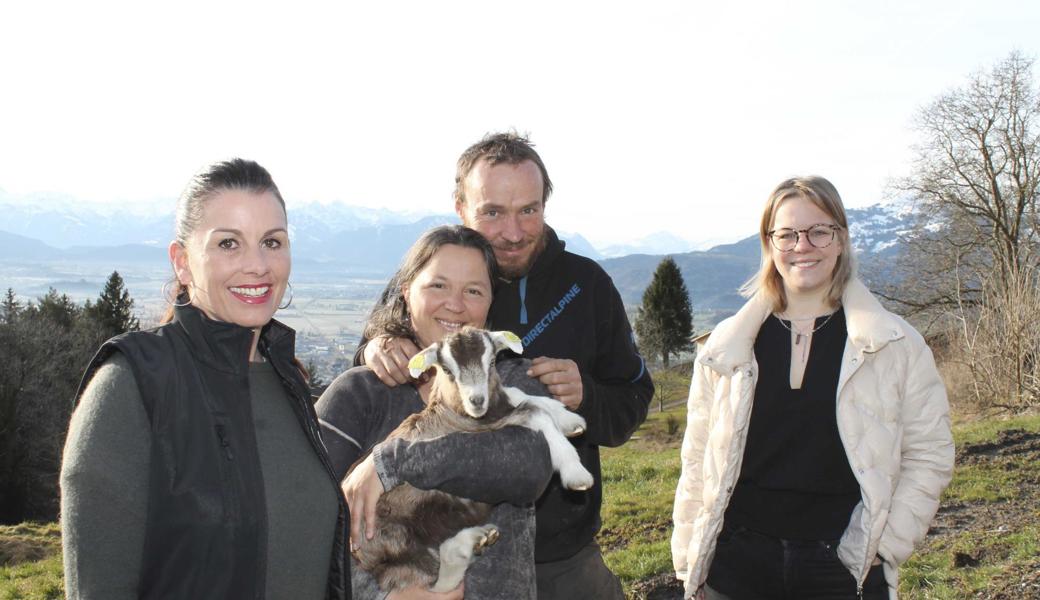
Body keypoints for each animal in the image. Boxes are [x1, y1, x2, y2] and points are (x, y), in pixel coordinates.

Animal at [351, 324, 590, 590]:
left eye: (492, 361)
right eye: (447, 369)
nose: (476, 401)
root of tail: (362, 557)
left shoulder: (500, 406)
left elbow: (521, 394)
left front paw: (572, 421)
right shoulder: (489, 425)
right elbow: (535, 411)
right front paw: (576, 474)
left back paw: (478, 538)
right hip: (397, 537)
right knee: (431, 582)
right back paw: (467, 546)